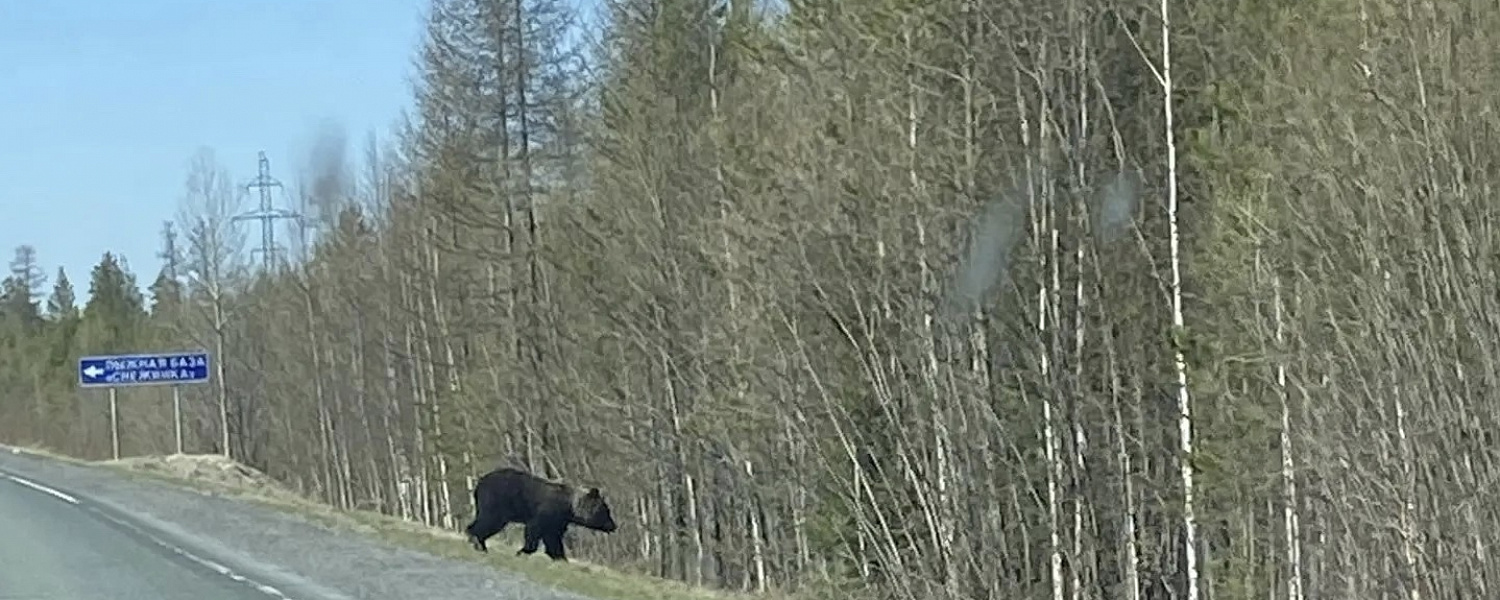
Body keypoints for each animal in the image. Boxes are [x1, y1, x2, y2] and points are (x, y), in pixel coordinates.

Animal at [463, 467, 617, 561]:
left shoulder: (558, 521)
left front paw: (560, 558)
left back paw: (479, 543)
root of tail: (480, 482)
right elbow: (534, 531)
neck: (569, 508)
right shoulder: (547, 513)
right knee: (489, 521)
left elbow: (553, 539)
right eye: (605, 511)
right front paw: (522, 551)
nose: (613, 526)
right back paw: (477, 541)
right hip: (497, 502)